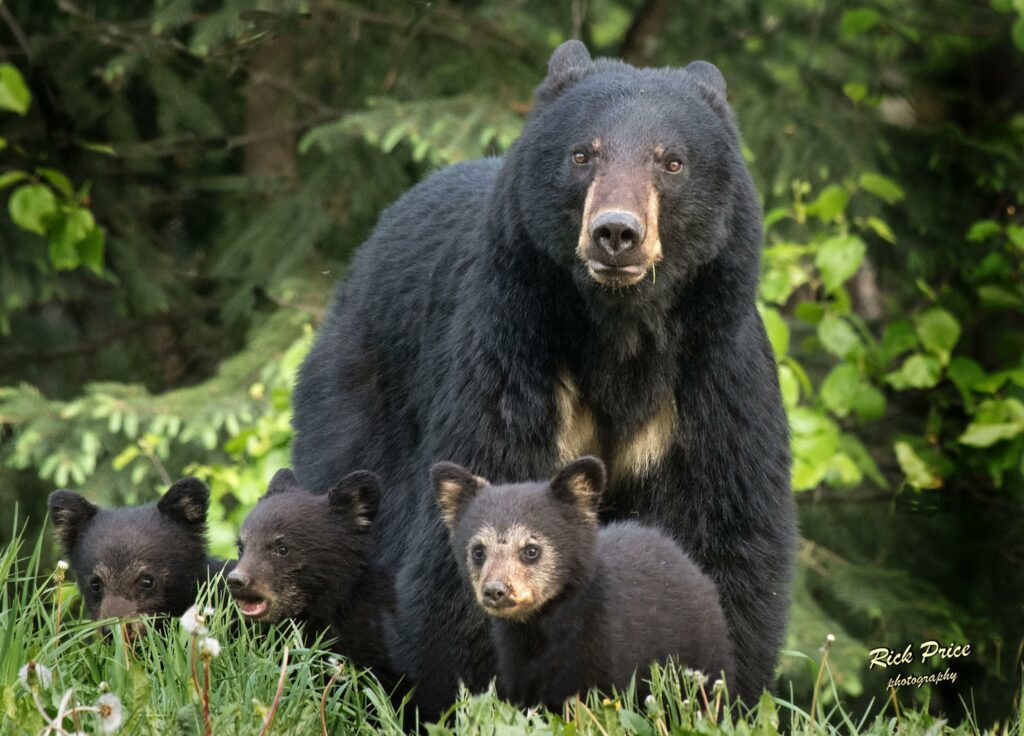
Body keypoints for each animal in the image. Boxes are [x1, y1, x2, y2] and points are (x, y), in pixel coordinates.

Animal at [292, 40, 794, 712]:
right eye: (583, 154)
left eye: (672, 162)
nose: (616, 233)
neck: (619, 335)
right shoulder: (513, 359)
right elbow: (483, 509)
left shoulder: (710, 380)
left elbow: (719, 533)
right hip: (363, 396)